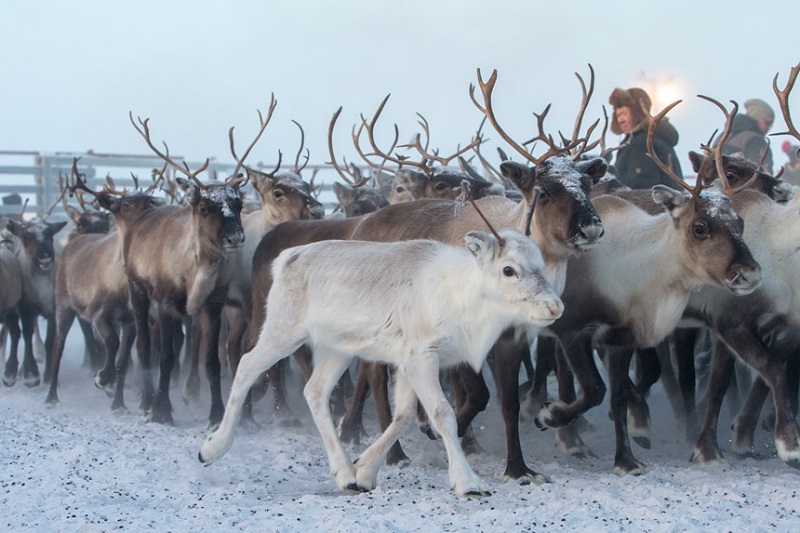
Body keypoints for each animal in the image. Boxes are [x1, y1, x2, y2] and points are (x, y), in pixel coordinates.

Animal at [199, 227, 564, 496]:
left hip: (337, 350)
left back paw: (344, 472)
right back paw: (212, 448)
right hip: (283, 331)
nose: (555, 307)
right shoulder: (421, 358)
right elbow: (441, 414)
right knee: (246, 366)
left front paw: (363, 472)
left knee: (315, 391)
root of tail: (288, 258)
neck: (464, 299)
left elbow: (403, 416)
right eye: (508, 269)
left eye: (541, 264)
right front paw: (468, 482)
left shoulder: (406, 365)